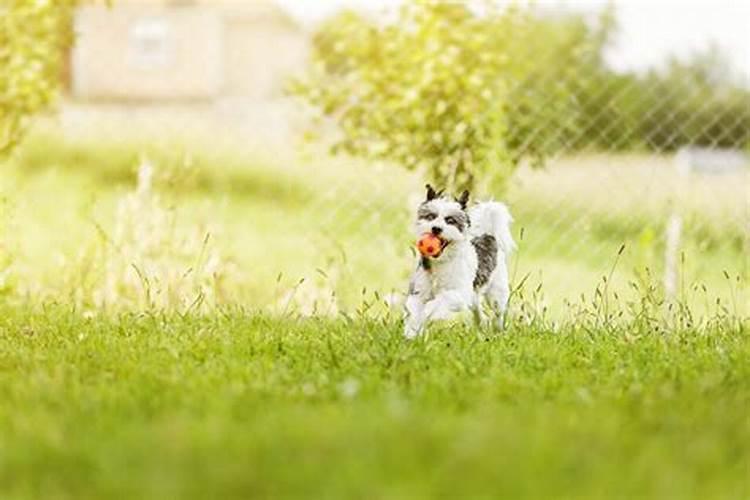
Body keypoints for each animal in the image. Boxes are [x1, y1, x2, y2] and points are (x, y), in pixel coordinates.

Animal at [406, 186, 516, 338]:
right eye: (430, 217)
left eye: (450, 220)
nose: (436, 228)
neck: (442, 262)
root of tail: (488, 236)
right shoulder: (419, 291)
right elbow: (414, 312)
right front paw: (411, 333)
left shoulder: (459, 294)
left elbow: (436, 303)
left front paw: (426, 314)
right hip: (474, 296)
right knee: (478, 310)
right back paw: (481, 326)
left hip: (496, 294)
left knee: (498, 314)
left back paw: (498, 331)